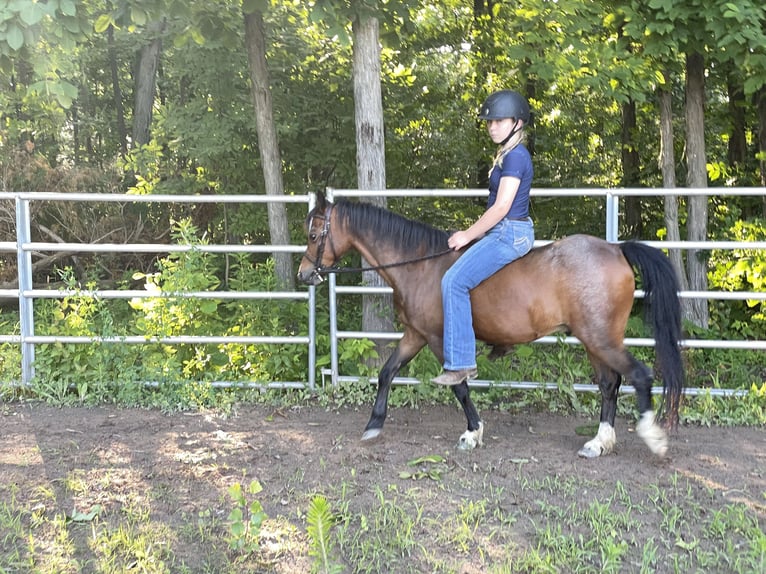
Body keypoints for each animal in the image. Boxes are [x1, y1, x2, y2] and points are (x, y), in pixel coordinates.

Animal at [296, 192, 688, 460]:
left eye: (314, 235)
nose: (303, 274)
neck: (420, 264)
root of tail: (616, 249)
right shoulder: (415, 334)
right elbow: (387, 373)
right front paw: (374, 424)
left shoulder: (438, 338)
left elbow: (459, 386)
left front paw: (472, 432)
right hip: (594, 341)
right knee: (609, 384)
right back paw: (599, 442)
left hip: (599, 338)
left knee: (638, 376)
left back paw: (652, 437)